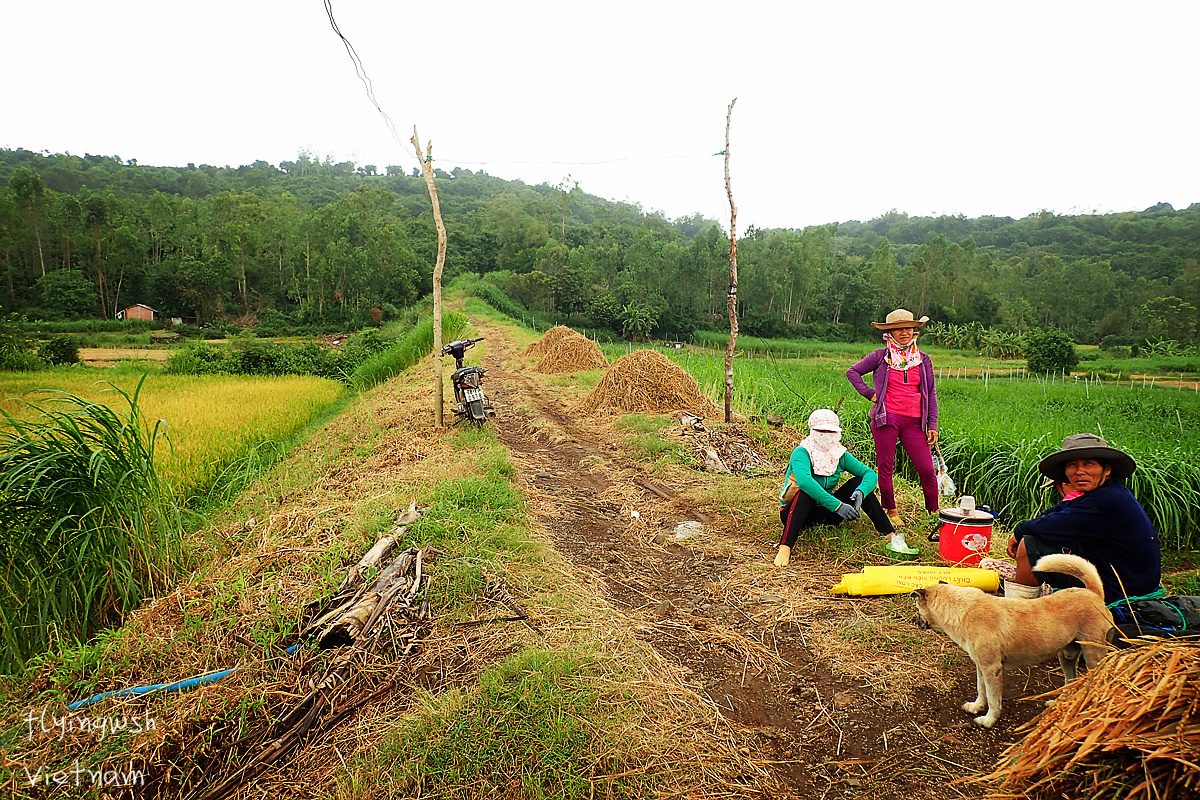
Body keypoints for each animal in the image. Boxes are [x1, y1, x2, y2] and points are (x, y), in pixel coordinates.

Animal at [912, 554, 1108, 729]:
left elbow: (993, 699)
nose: (915, 622)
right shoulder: (980, 666)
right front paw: (976, 707)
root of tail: (1093, 593)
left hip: (1093, 656)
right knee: (1070, 680)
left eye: (917, 609)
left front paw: (988, 720)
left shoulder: (992, 670)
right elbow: (981, 689)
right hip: (1066, 656)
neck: (964, 609)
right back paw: (1059, 704)